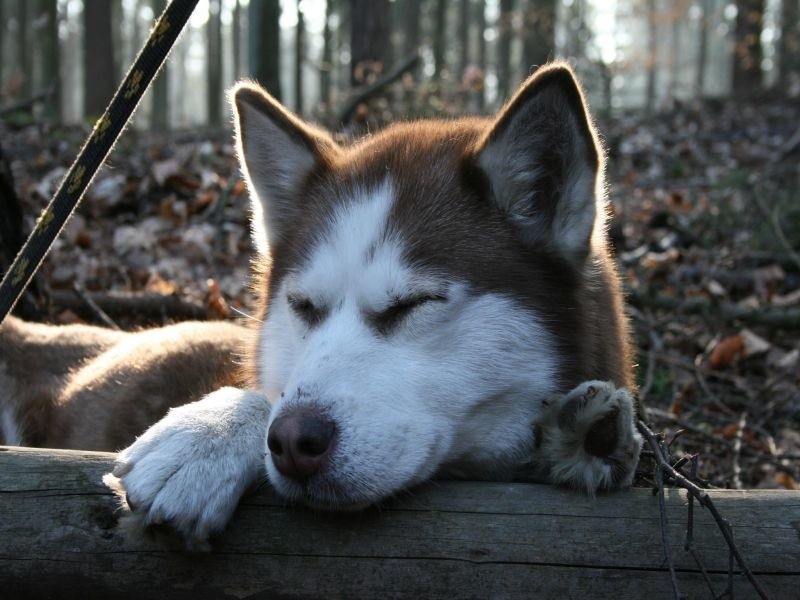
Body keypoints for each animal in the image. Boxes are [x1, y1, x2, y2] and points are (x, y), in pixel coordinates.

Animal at [0, 62, 640, 548]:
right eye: (303, 305)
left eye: (413, 303)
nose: (291, 442)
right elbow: (262, 397)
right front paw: (210, 431)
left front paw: (584, 441)